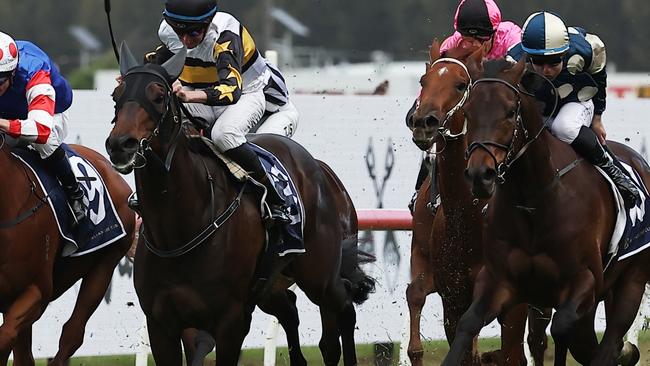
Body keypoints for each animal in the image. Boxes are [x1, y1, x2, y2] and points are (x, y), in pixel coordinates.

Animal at [104, 43, 372, 366]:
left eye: (158, 96)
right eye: (116, 95)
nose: (121, 145)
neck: (179, 229)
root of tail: (319, 169)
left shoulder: (231, 321)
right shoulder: (161, 324)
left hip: (318, 274)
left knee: (342, 312)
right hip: (271, 286)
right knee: (293, 312)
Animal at [404, 40, 548, 366]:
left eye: (460, 85)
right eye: (423, 81)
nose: (423, 122)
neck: (467, 216)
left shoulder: (513, 304)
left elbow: (511, 354)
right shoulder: (454, 298)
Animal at [442, 58, 648, 366]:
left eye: (510, 111)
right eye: (467, 112)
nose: (480, 175)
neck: (534, 201)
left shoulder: (585, 280)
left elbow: (562, 328)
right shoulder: (498, 280)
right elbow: (468, 324)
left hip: (632, 280)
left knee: (609, 343)